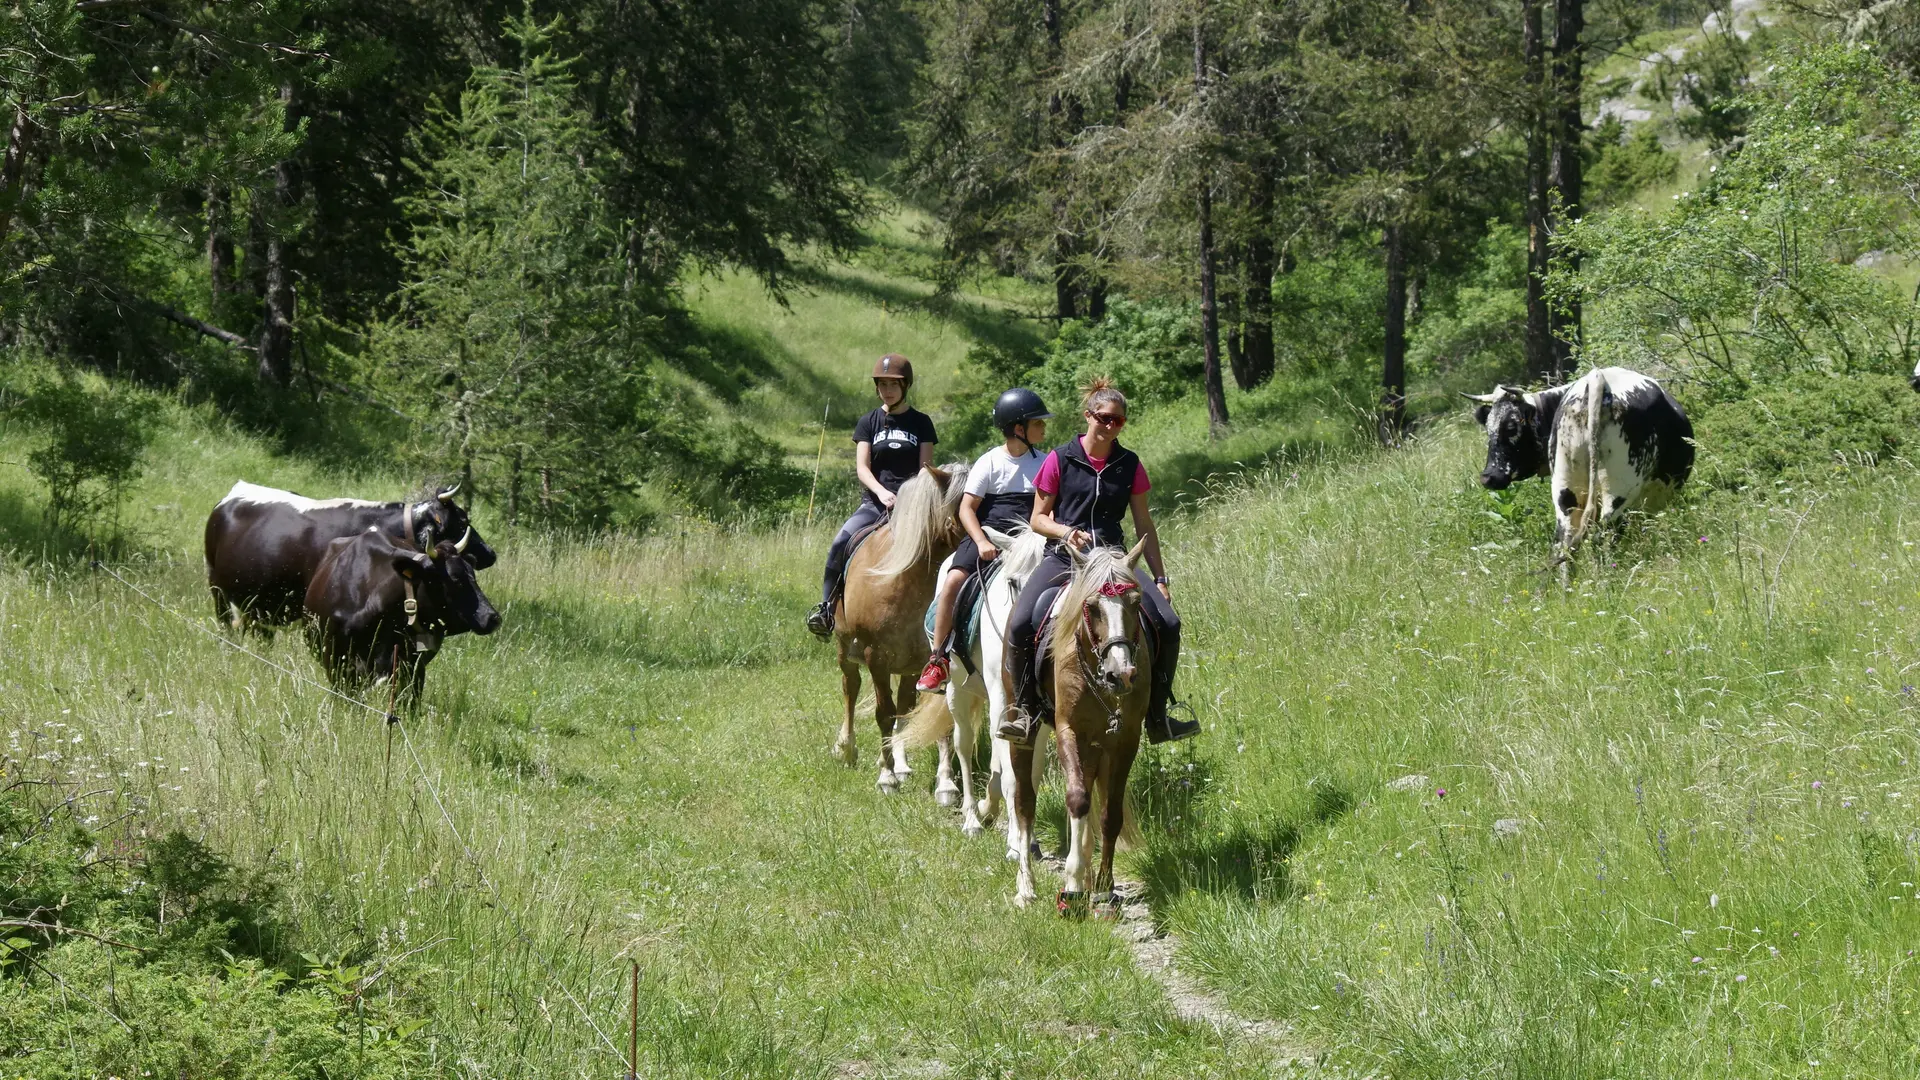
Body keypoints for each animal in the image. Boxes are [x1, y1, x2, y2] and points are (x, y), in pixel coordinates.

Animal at [833, 462, 970, 793]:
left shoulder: (933, 660)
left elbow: (937, 720)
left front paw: (946, 783)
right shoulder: (876, 657)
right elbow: (883, 713)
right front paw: (886, 777)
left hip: (909, 666)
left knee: (904, 707)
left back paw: (903, 763)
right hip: (846, 650)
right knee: (850, 687)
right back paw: (846, 748)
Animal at [895, 526, 1051, 847]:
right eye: (1013, 582)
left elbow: (1029, 772)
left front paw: (1027, 838)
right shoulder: (1003, 698)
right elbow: (1010, 774)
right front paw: (1014, 839)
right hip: (957, 691)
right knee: (963, 745)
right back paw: (970, 818)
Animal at [1010, 538, 1150, 911]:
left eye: (1137, 602)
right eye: (1092, 606)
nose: (1121, 674)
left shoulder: (1125, 740)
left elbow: (1109, 815)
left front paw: (1103, 887)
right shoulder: (1068, 731)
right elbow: (1076, 799)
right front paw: (1072, 885)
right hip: (1023, 736)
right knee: (1024, 802)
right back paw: (1025, 887)